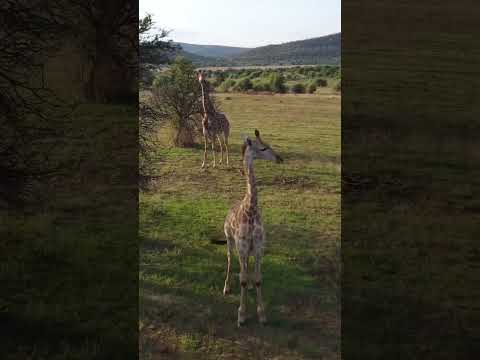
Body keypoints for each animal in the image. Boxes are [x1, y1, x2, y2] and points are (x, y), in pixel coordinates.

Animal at [223, 129, 284, 326]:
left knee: (245, 267)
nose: (280, 158)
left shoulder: (258, 247)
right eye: (262, 148)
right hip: (230, 240)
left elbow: (258, 279)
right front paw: (241, 315)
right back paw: (226, 287)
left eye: (269, 144)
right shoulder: (242, 246)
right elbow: (241, 278)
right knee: (230, 260)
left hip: (247, 249)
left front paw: (262, 314)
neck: (250, 210)